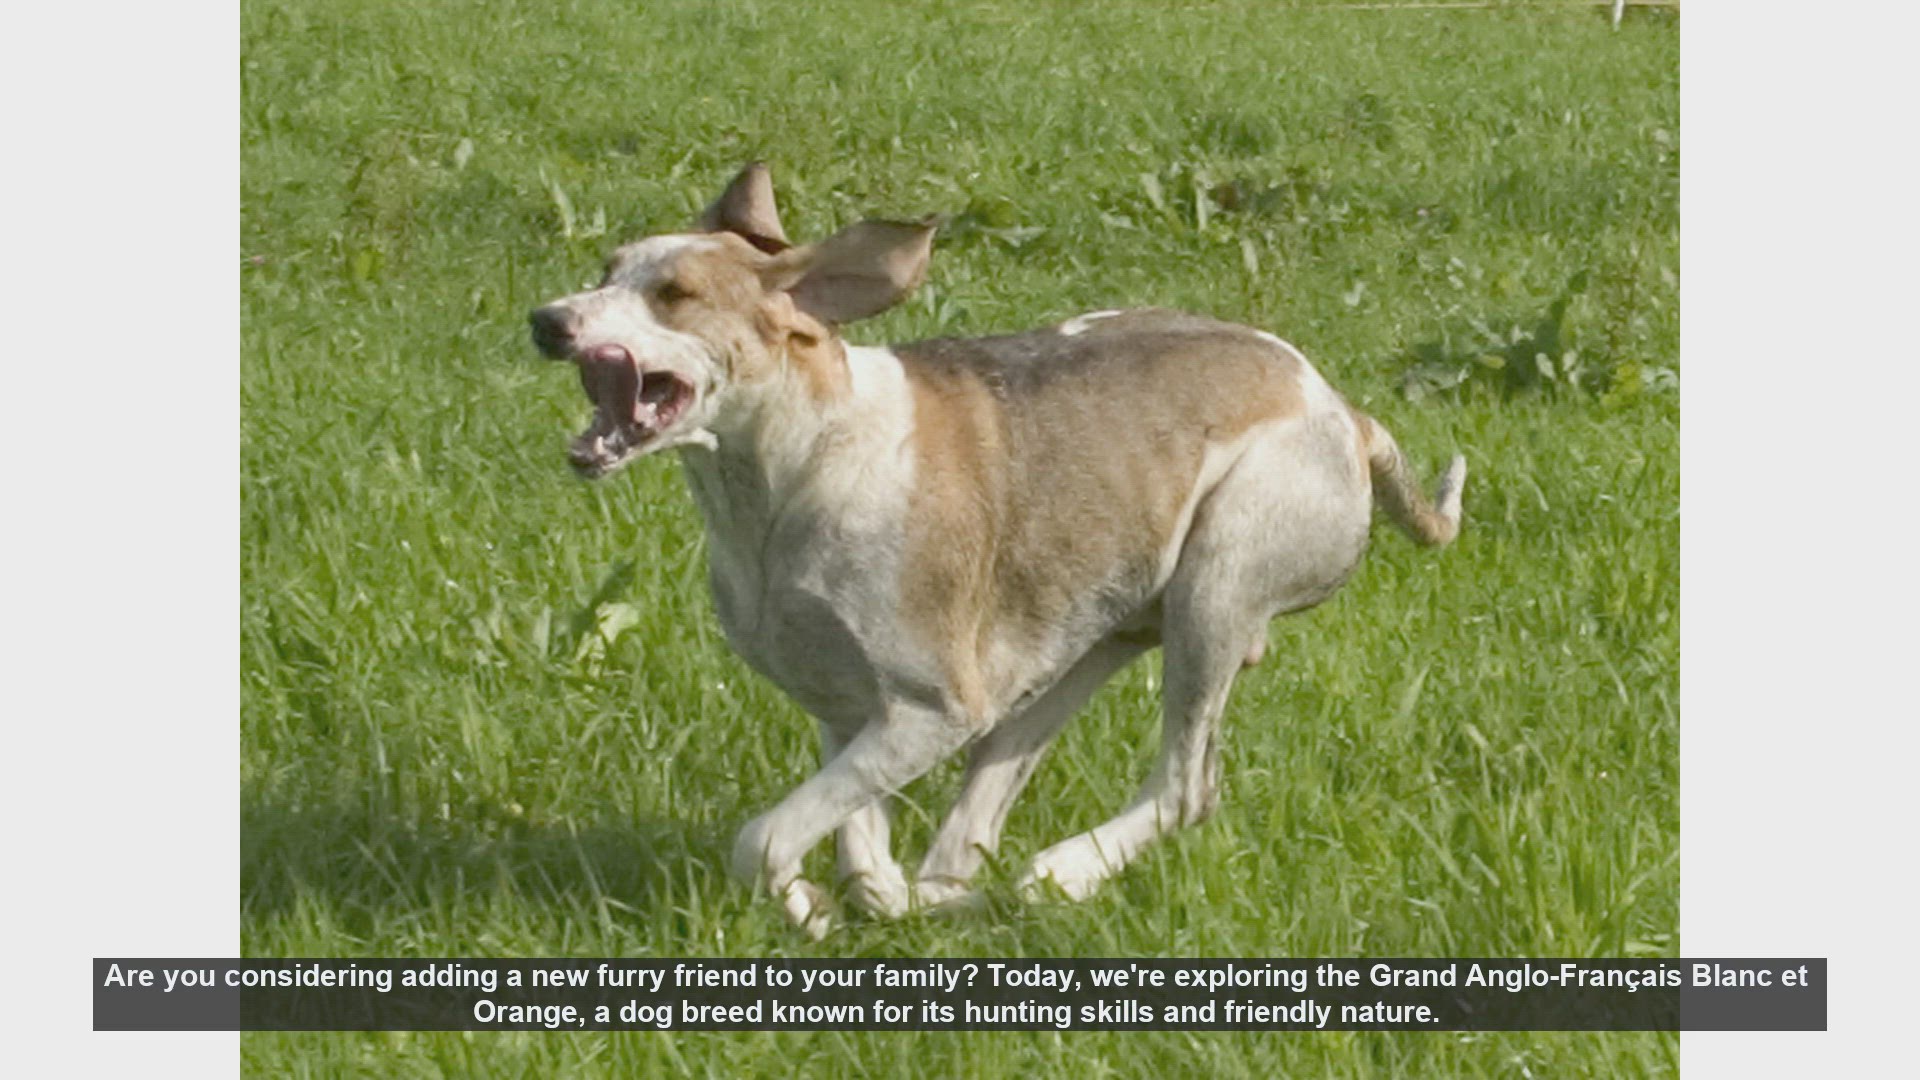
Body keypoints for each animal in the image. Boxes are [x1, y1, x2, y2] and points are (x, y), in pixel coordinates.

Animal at [529, 163, 1465, 936]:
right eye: (608, 269)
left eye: (675, 293)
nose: (546, 321)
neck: (798, 466)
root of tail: (1347, 414)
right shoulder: (845, 709)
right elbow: (848, 851)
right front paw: (830, 905)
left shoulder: (929, 711)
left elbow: (760, 840)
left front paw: (811, 901)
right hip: (1091, 648)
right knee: (976, 831)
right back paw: (960, 893)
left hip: (1216, 590)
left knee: (1185, 788)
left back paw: (1059, 874)